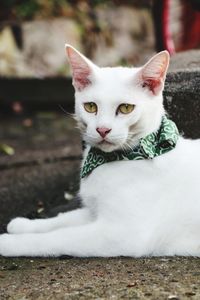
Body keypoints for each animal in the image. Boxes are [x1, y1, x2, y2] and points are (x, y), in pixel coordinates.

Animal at [0, 45, 200, 258]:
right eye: (90, 107)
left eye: (126, 108)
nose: (102, 129)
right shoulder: (93, 212)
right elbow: (64, 218)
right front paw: (24, 225)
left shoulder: (123, 233)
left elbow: (60, 237)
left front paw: (9, 242)